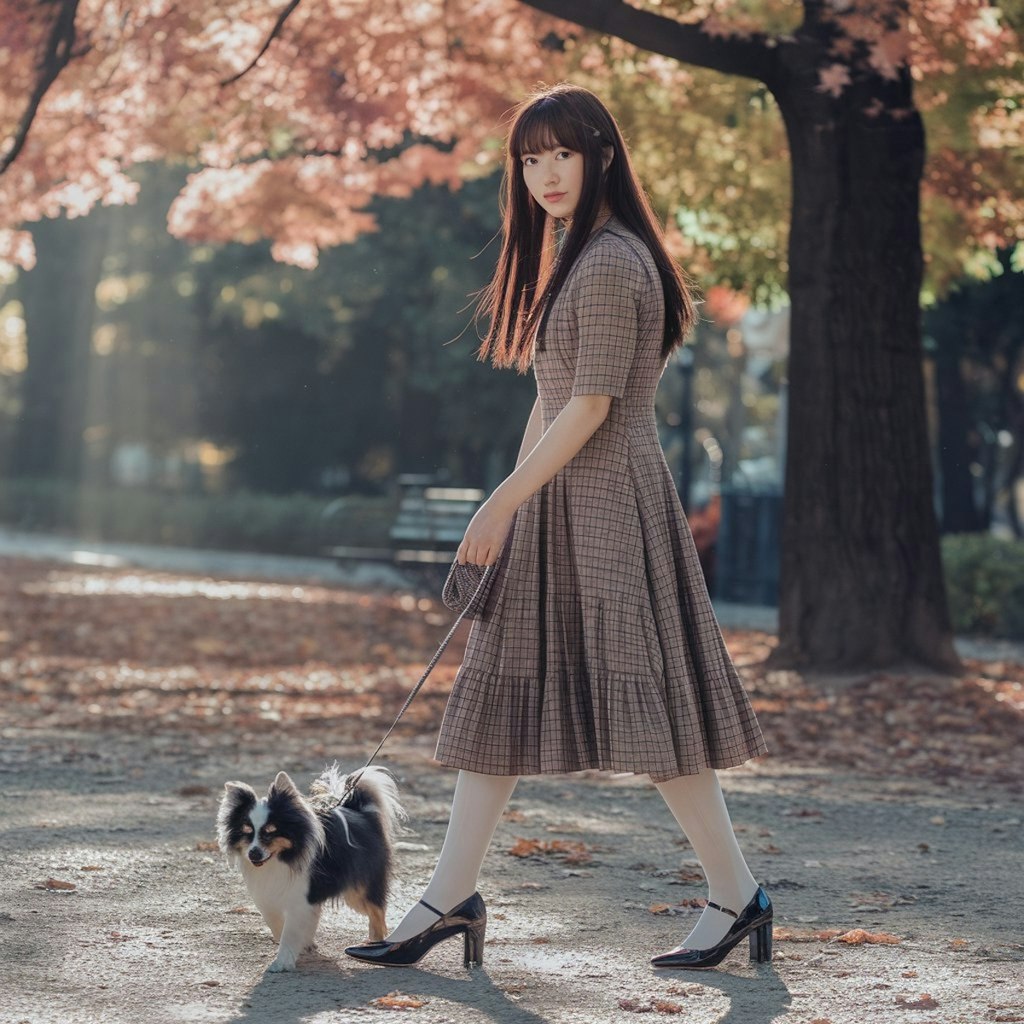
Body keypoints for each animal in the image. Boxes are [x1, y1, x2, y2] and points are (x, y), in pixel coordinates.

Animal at [217, 765, 407, 970]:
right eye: (247, 832)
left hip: (358, 891)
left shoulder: (299, 899)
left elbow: (290, 931)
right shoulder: (270, 897)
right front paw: (303, 945)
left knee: (377, 913)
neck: (281, 859)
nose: (253, 853)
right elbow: (276, 923)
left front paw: (282, 962)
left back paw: (375, 943)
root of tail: (361, 812)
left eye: (270, 832)